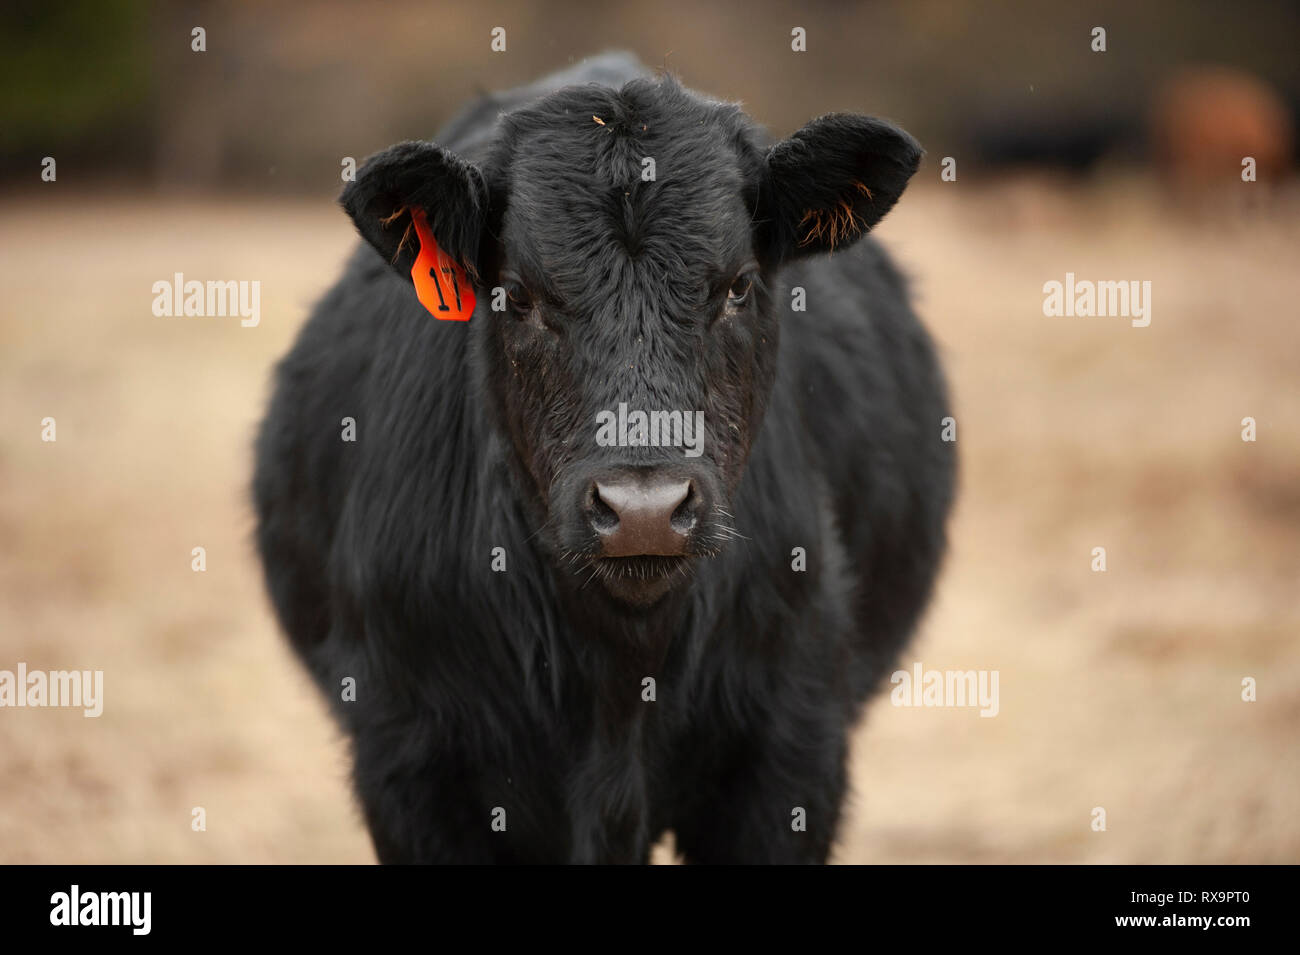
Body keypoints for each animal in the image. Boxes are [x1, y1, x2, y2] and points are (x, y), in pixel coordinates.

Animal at [256, 52, 956, 867]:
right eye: (518, 294)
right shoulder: (411, 765)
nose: (644, 511)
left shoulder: (790, 755)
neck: (621, 667)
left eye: (739, 285)